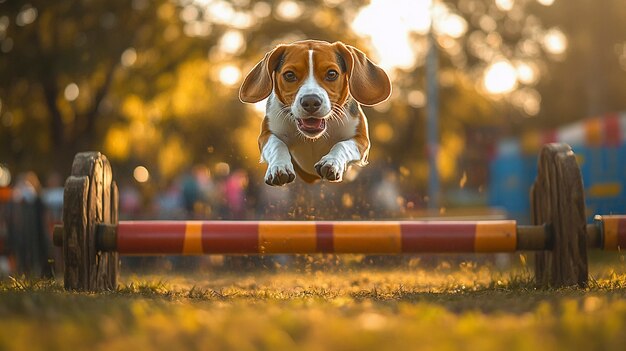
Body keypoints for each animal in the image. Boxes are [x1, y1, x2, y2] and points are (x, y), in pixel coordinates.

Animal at [236, 40, 388, 186]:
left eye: (331, 74)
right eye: (289, 75)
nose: (310, 101)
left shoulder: (361, 140)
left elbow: (343, 145)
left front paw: (331, 162)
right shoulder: (266, 135)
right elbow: (277, 145)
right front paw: (279, 167)